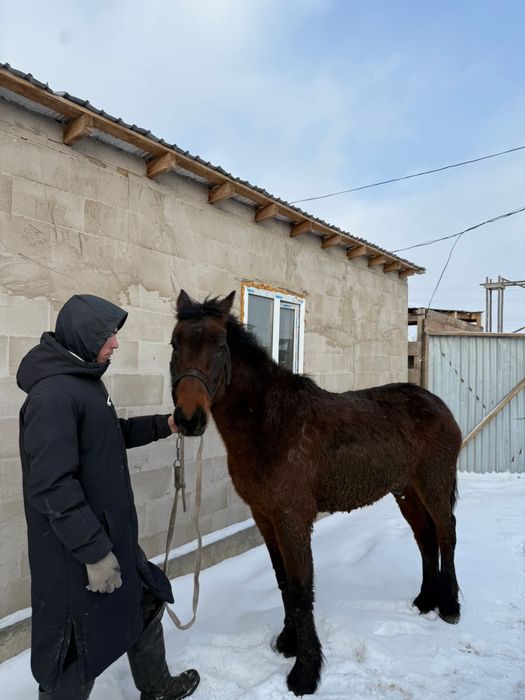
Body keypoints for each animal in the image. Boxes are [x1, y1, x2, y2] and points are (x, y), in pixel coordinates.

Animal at [169, 290, 461, 696]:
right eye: (174, 343)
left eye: (219, 345)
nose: (188, 418)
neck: (271, 424)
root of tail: (438, 405)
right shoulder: (265, 517)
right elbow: (283, 583)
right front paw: (287, 643)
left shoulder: (293, 519)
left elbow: (301, 586)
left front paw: (305, 672)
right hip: (407, 492)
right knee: (425, 537)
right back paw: (424, 600)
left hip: (434, 484)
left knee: (446, 534)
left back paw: (449, 605)